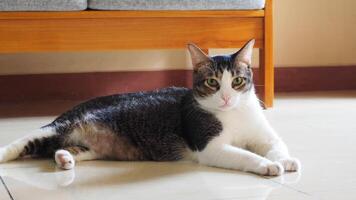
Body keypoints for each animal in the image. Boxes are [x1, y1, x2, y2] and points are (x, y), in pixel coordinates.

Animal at [0, 39, 300, 176]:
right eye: (212, 82)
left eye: (237, 81)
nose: (226, 98)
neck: (233, 114)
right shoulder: (209, 146)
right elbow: (244, 155)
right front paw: (267, 165)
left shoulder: (263, 134)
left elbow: (276, 144)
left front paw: (285, 159)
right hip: (60, 125)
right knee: (24, 141)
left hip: (92, 148)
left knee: (64, 149)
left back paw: (64, 158)